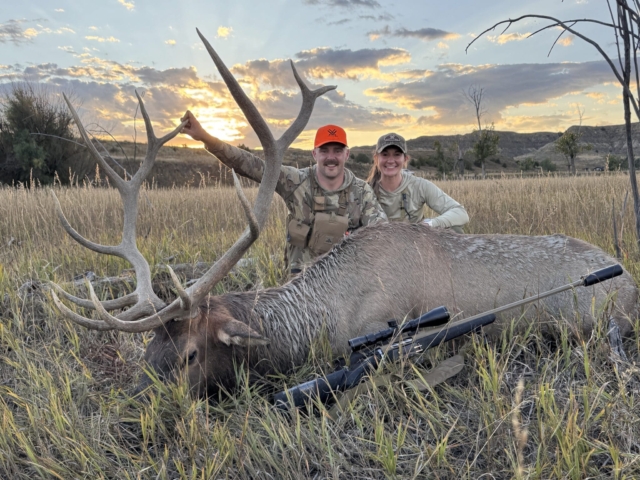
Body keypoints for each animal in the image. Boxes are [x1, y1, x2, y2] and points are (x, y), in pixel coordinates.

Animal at [49, 30, 639, 398]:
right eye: (149, 349)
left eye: (190, 355)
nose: (136, 403)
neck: (323, 318)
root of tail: (630, 279)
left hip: (601, 317)